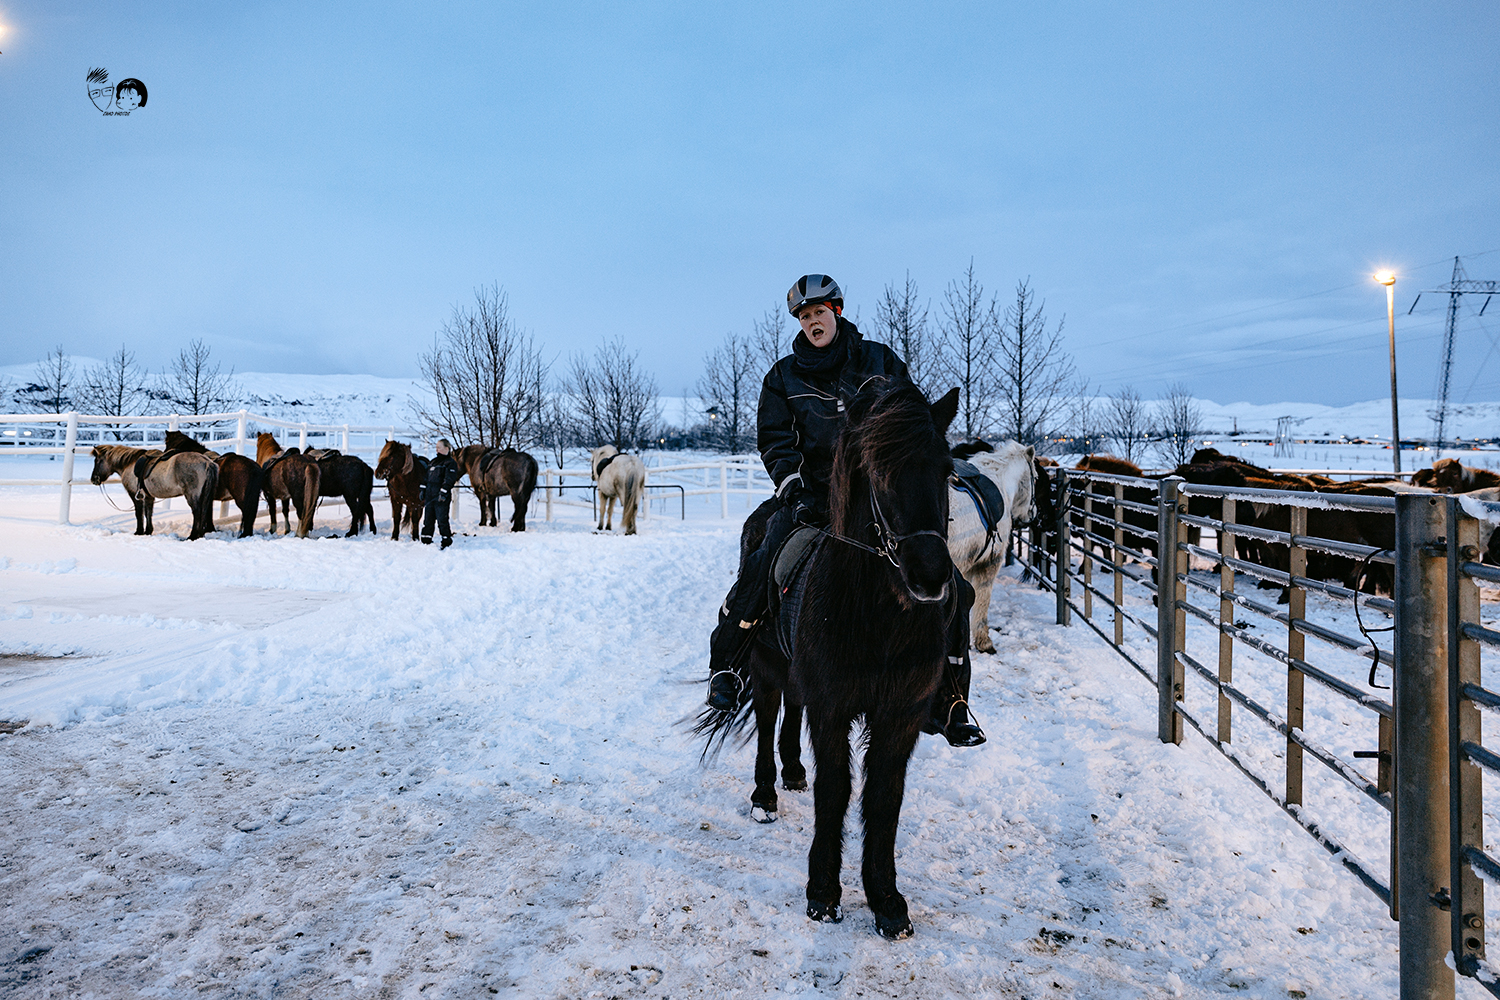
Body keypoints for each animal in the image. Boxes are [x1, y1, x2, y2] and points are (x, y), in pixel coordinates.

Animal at [88, 446, 219, 539]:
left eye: (97, 461)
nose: (94, 479)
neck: (129, 464)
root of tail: (208, 462)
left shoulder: (135, 496)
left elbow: (139, 514)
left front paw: (139, 532)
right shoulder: (148, 497)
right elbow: (148, 513)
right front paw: (148, 531)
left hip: (192, 495)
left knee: (197, 512)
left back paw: (192, 536)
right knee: (205, 511)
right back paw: (200, 535)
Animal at [702, 380, 960, 941]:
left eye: (947, 470)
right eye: (879, 472)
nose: (930, 576)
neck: (877, 619)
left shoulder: (899, 716)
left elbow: (884, 798)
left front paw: (886, 899)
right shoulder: (833, 707)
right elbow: (836, 790)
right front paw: (823, 891)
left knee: (790, 711)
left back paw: (793, 770)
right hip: (766, 665)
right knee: (771, 714)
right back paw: (765, 795)